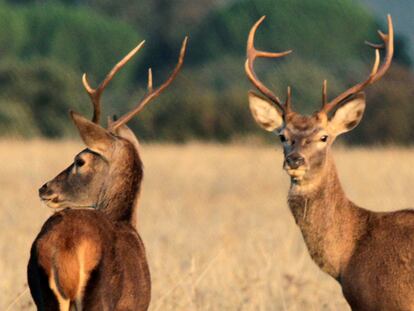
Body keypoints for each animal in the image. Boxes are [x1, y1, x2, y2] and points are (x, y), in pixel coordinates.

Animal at [26, 37, 188, 311]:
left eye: (80, 160)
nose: (45, 188)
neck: (126, 221)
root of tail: (63, 247)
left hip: (45, 297)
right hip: (99, 299)